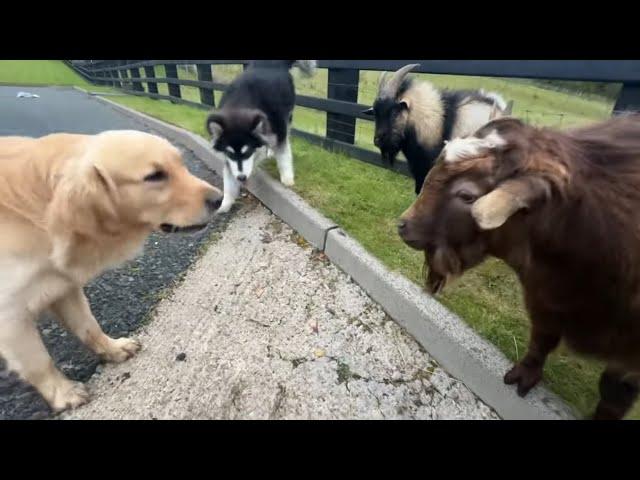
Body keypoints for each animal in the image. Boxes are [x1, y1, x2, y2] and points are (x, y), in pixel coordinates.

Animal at [206, 58, 316, 212]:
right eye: (230, 154)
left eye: (247, 152)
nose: (241, 178)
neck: (241, 104)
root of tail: (272, 63)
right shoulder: (228, 157)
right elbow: (228, 178)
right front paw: (225, 204)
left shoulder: (279, 131)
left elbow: (283, 154)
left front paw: (287, 177)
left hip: (287, 115)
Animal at [398, 113, 640, 420]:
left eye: (466, 196)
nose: (403, 225)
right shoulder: (543, 298)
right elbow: (542, 338)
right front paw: (525, 374)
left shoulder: (630, 355)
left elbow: (613, 392)